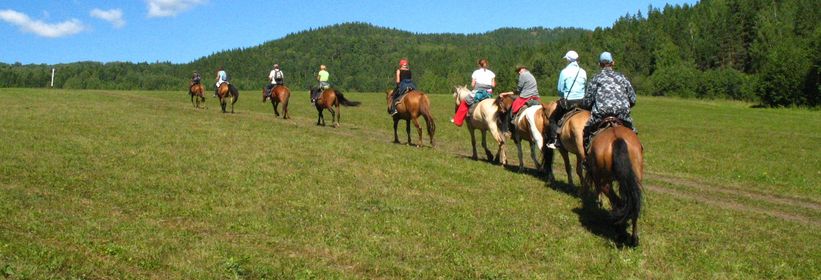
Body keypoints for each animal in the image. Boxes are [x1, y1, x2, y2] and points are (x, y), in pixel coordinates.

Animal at [588, 117, 644, 246]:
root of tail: (617, 138)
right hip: (635, 178)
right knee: (634, 204)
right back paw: (634, 239)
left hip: (604, 180)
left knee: (618, 202)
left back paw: (619, 231)